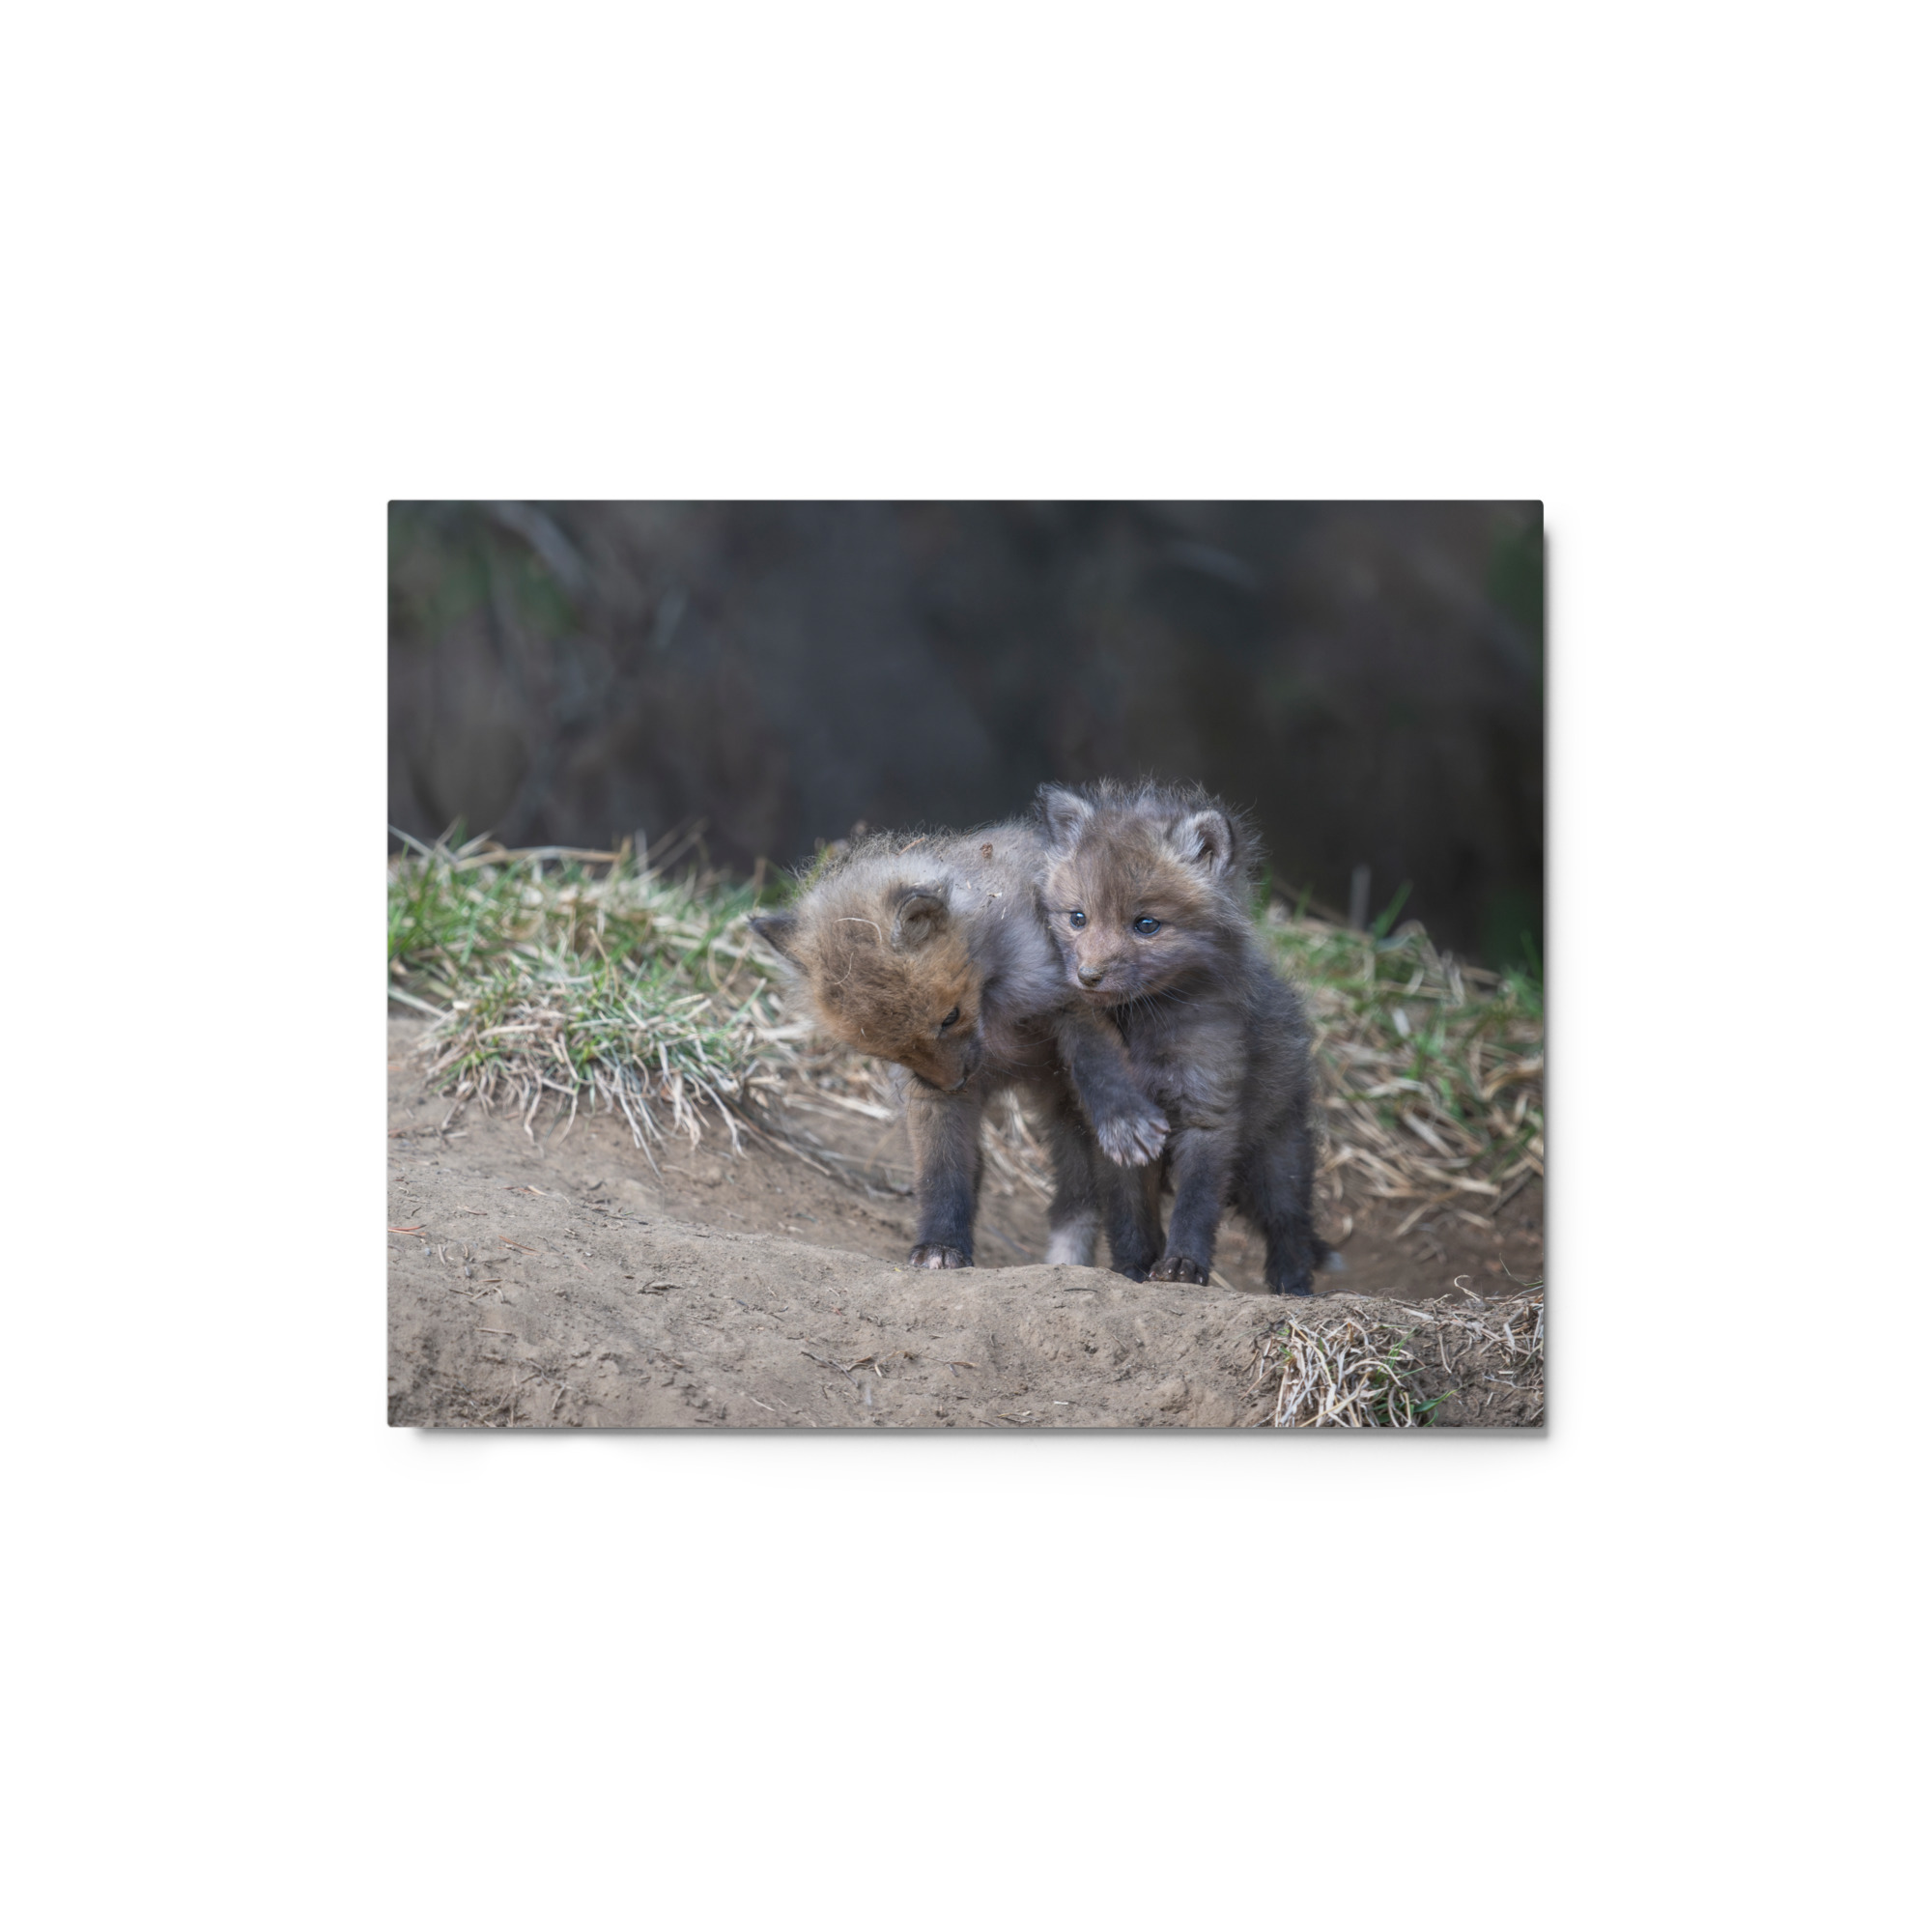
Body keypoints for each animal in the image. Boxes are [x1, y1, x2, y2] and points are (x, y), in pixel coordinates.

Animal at [749, 821, 1170, 1272]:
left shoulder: (1072, 997)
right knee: (1072, 1197)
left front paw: (1123, 1119)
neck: (994, 1013)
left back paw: (1135, 1266)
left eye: (949, 1018)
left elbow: (1098, 1064)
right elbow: (941, 1172)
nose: (954, 1083)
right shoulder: (926, 1093)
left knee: (1120, 1200)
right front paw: (941, 1245)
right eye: (887, 1051)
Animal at [1037, 779, 1328, 1296]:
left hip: (1277, 1159)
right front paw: (1132, 1269)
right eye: (1077, 918)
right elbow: (1129, 1214)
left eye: (1146, 925)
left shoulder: (1208, 1111)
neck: (1144, 1029)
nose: (1088, 976)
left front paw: (1182, 1267)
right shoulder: (1117, 1132)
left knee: (1290, 1226)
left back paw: (1293, 1290)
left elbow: (1196, 1205)